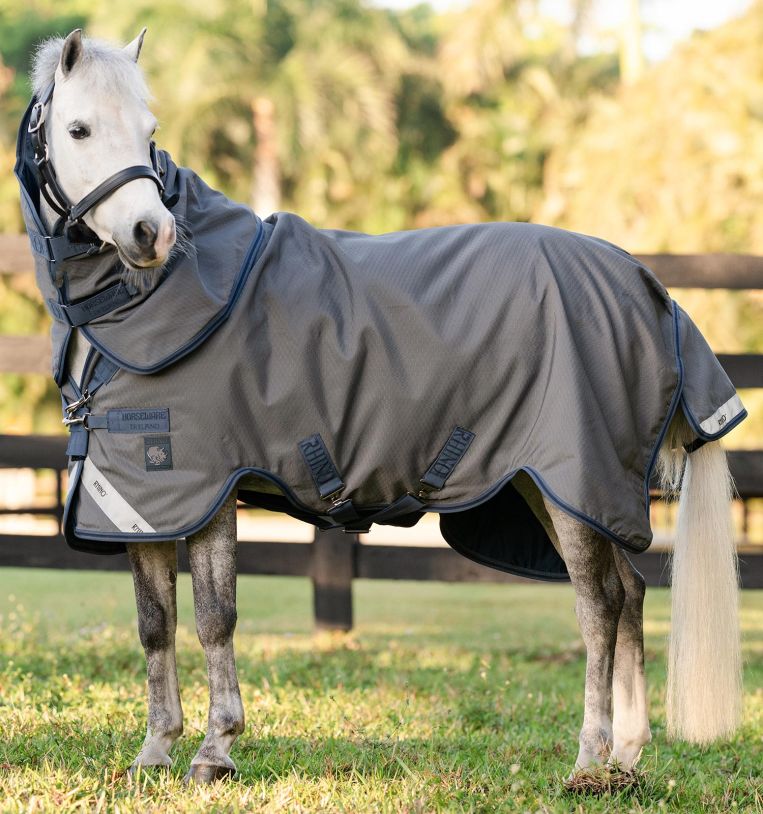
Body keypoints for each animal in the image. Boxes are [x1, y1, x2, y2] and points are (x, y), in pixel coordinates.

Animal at [19, 29, 743, 784]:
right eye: (79, 128)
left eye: (149, 131)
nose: (149, 235)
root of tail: (646, 286)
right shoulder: (141, 499)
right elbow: (154, 624)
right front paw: (156, 749)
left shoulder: (204, 490)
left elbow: (215, 618)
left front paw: (215, 749)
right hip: (555, 488)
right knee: (628, 594)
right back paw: (625, 757)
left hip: (573, 482)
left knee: (598, 606)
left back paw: (587, 757)